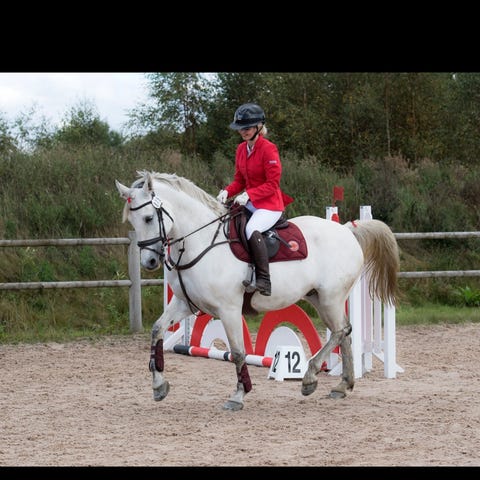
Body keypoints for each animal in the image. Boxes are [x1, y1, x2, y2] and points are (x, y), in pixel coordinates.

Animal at [115, 170, 400, 411]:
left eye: (149, 218)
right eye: (133, 221)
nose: (150, 262)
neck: (200, 241)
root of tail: (346, 230)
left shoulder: (228, 309)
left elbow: (238, 352)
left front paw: (239, 395)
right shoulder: (185, 304)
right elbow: (157, 330)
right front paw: (158, 386)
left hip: (331, 298)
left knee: (341, 331)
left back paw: (310, 378)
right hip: (319, 298)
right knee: (344, 332)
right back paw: (342, 385)